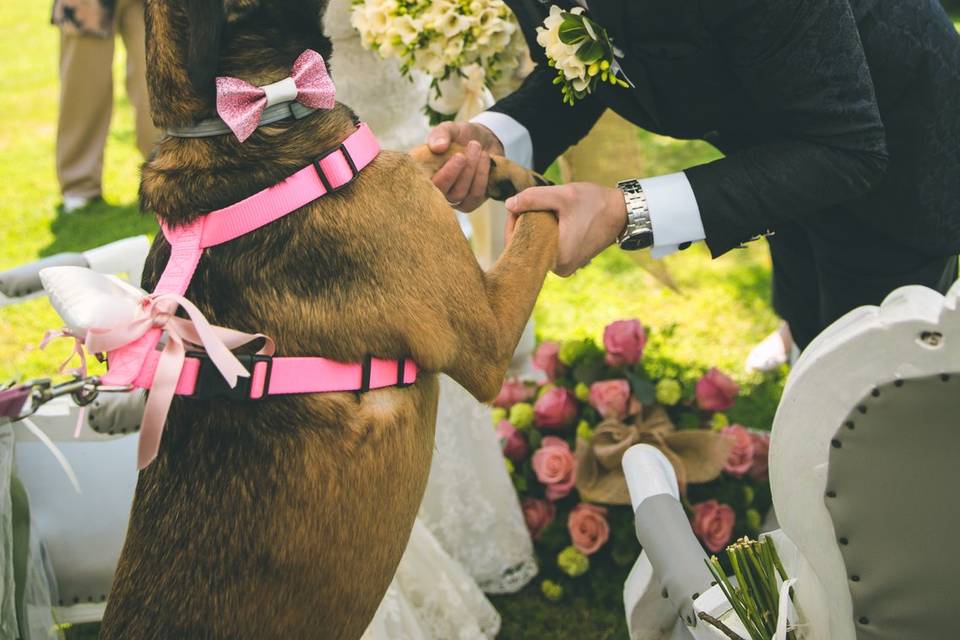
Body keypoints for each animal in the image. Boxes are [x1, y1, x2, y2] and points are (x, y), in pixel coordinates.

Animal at [97, 1, 556, 640]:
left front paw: (488, 161)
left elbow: (426, 153)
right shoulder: (488, 335)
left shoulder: (392, 169)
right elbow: (542, 216)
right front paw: (549, 187)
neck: (244, 120)